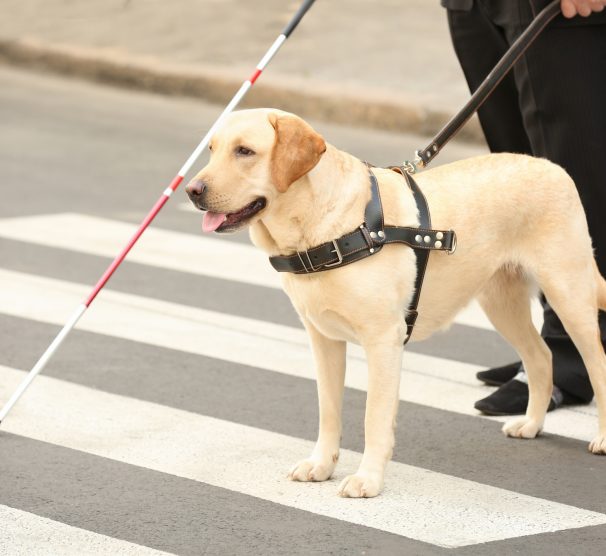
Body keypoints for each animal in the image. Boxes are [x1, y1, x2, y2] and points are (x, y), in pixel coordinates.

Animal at [186, 106, 606, 498]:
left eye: (245, 151)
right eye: (211, 149)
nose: (192, 190)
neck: (325, 229)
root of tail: (552, 167)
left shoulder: (383, 340)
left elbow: (374, 417)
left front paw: (368, 479)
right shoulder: (323, 339)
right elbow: (328, 409)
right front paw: (321, 464)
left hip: (568, 292)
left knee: (595, 362)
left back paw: (600, 438)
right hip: (501, 301)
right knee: (541, 356)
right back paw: (532, 423)